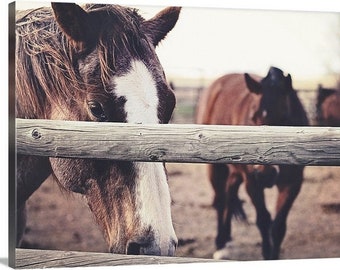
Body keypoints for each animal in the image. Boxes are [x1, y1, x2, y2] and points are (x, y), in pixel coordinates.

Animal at [195, 66, 310, 260]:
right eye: (252, 118)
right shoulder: (252, 182)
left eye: (284, 118)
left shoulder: (292, 183)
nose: (265, 174)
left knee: (229, 193)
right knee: (220, 200)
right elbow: (263, 220)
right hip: (216, 168)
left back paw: (227, 240)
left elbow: (278, 227)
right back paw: (220, 244)